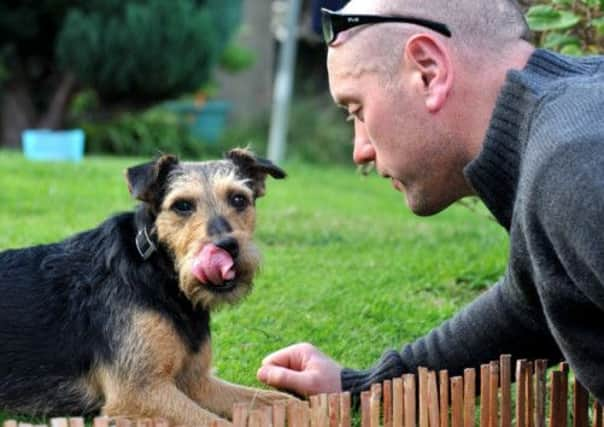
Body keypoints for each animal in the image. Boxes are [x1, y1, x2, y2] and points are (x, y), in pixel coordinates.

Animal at [0, 149, 292, 426]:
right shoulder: (137, 391)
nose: (227, 246)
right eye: (182, 205)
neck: (159, 273)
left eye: (238, 199)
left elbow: (281, 399)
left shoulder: (197, 381)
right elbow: (215, 422)